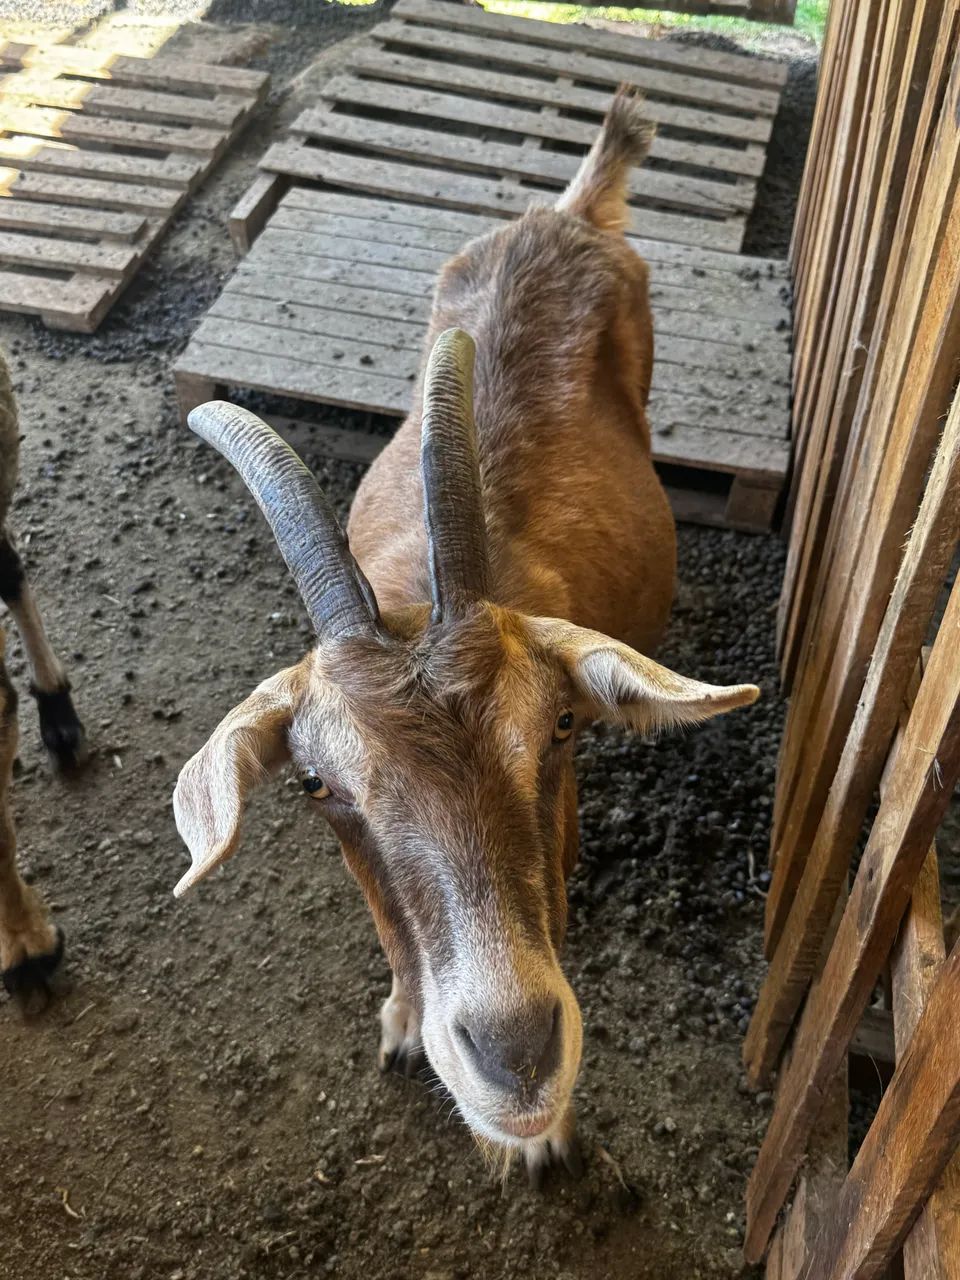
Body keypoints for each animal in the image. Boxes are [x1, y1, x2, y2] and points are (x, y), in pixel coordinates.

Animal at [173, 90, 759, 1179]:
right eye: (315, 782)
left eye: (561, 727)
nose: (518, 1058)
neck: (409, 593)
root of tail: (566, 214)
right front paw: (407, 1023)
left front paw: (548, 1134)